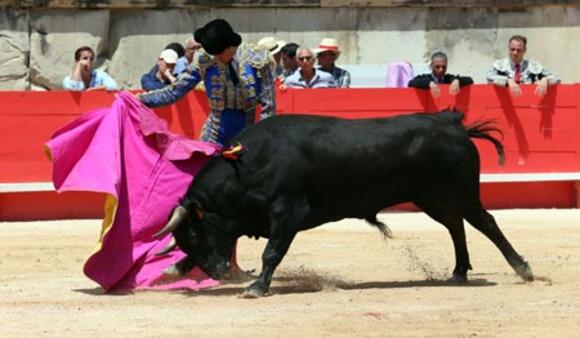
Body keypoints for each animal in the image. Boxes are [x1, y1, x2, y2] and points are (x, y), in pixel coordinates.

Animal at [156, 111, 532, 298]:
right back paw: (458, 272)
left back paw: (522, 268)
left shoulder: (287, 212)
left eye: (194, 234)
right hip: (431, 198)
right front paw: (175, 269)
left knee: (486, 223)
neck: (247, 165)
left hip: (462, 194)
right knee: (456, 225)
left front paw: (256, 287)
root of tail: (451, 123)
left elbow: (272, 252)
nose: (219, 272)